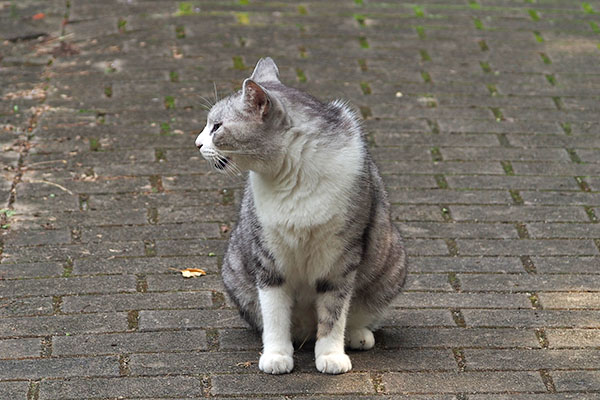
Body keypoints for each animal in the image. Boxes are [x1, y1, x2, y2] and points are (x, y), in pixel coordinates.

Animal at [195, 57, 406, 374]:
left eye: (217, 127)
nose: (197, 143)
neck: (290, 174)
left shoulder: (340, 258)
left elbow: (334, 312)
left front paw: (330, 355)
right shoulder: (268, 257)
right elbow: (274, 313)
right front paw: (276, 355)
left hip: (391, 262)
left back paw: (356, 335)